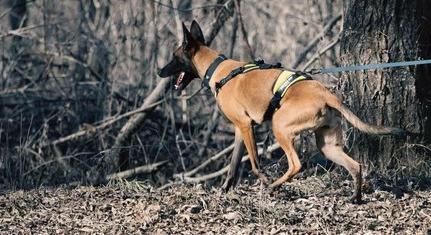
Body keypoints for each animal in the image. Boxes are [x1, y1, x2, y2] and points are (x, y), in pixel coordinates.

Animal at [159, 20, 404, 204]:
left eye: (173, 57)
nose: (160, 72)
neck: (218, 69)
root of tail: (327, 94)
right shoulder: (239, 130)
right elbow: (232, 167)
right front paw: (225, 190)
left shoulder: (246, 127)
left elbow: (255, 165)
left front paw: (264, 182)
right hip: (327, 145)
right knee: (355, 165)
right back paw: (356, 197)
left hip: (280, 127)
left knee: (296, 164)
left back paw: (275, 186)